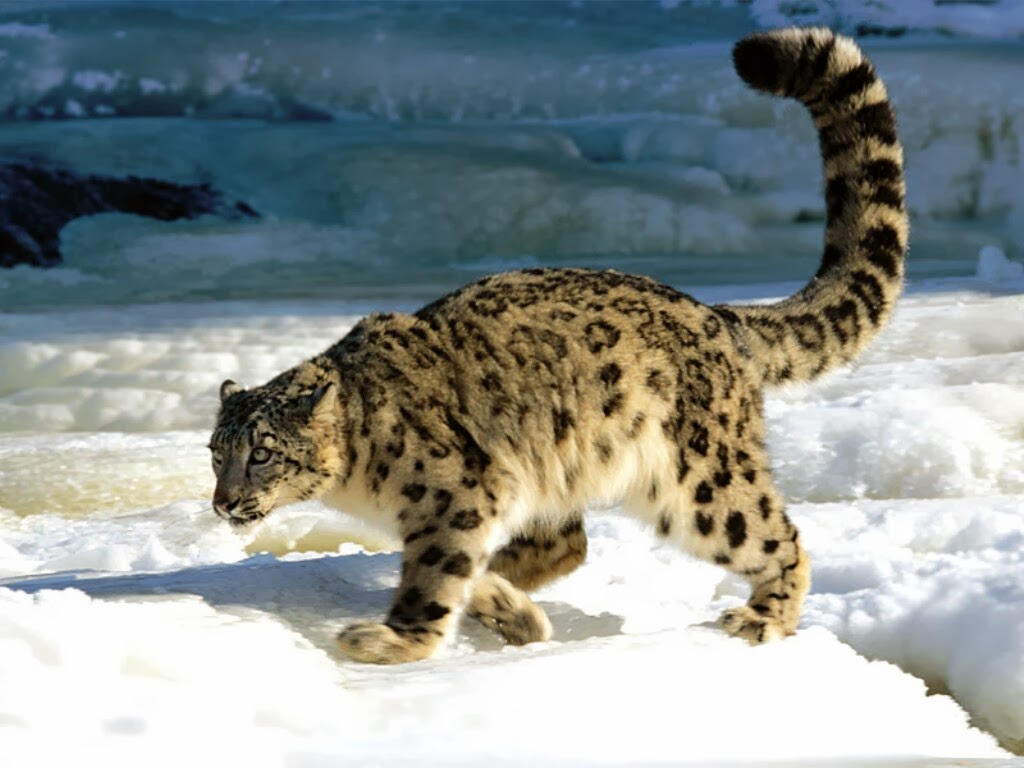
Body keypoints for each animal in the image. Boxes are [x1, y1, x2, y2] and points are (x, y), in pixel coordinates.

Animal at [208, 27, 908, 664]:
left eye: (263, 453)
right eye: (217, 454)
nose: (225, 502)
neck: (358, 480)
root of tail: (714, 314)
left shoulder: (456, 496)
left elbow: (435, 576)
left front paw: (391, 642)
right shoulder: (475, 505)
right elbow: (455, 566)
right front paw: (508, 612)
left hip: (702, 482)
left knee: (775, 535)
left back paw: (763, 619)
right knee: (567, 542)